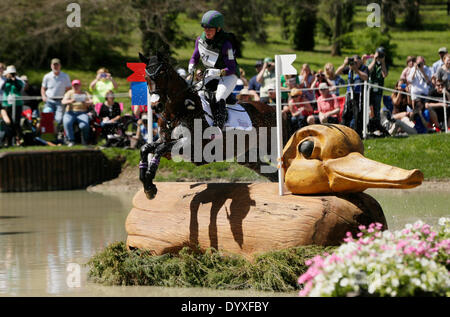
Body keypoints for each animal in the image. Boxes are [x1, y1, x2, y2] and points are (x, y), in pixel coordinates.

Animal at [137, 52, 290, 199]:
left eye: (162, 74)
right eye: (146, 77)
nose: (156, 106)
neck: (177, 111)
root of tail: (274, 110)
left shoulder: (192, 146)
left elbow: (159, 149)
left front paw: (150, 182)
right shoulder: (166, 142)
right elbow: (146, 148)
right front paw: (147, 185)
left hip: (273, 147)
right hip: (248, 156)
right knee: (272, 173)